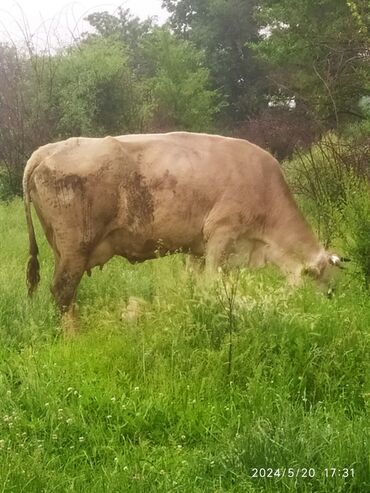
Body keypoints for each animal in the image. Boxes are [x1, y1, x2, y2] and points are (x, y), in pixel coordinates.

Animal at [23, 131, 344, 316]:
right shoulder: (220, 236)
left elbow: (194, 283)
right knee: (63, 292)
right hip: (76, 247)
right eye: (324, 278)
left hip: (63, 250)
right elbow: (212, 284)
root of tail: (46, 150)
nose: (331, 299)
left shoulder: (196, 249)